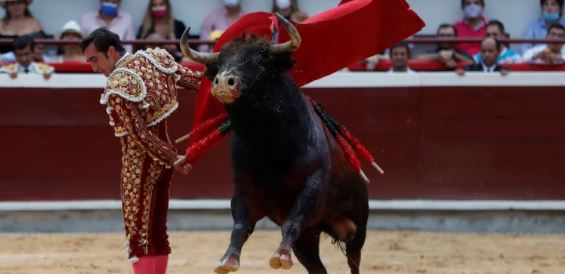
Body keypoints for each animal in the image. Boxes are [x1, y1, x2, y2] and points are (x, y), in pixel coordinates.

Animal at [178, 14, 368, 274]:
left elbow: (292, 220)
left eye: (260, 61)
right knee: (317, 267)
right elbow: (240, 226)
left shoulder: (313, 183)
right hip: (307, 239)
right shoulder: (244, 191)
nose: (223, 82)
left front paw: (280, 256)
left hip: (358, 227)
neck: (268, 146)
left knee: (353, 260)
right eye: (221, 62)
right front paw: (227, 260)